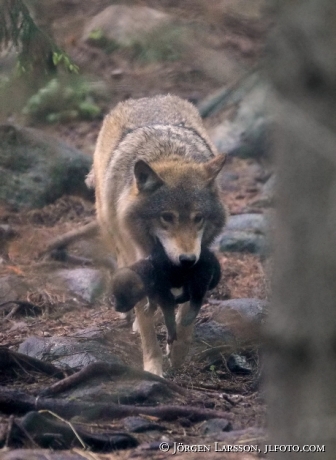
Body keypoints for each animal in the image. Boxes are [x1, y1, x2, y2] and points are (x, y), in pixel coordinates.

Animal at [92, 95, 228, 376]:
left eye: (198, 218)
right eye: (167, 217)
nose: (187, 260)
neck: (167, 154)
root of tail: (144, 98)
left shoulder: (199, 272)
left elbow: (185, 320)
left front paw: (177, 354)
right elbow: (148, 329)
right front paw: (153, 369)